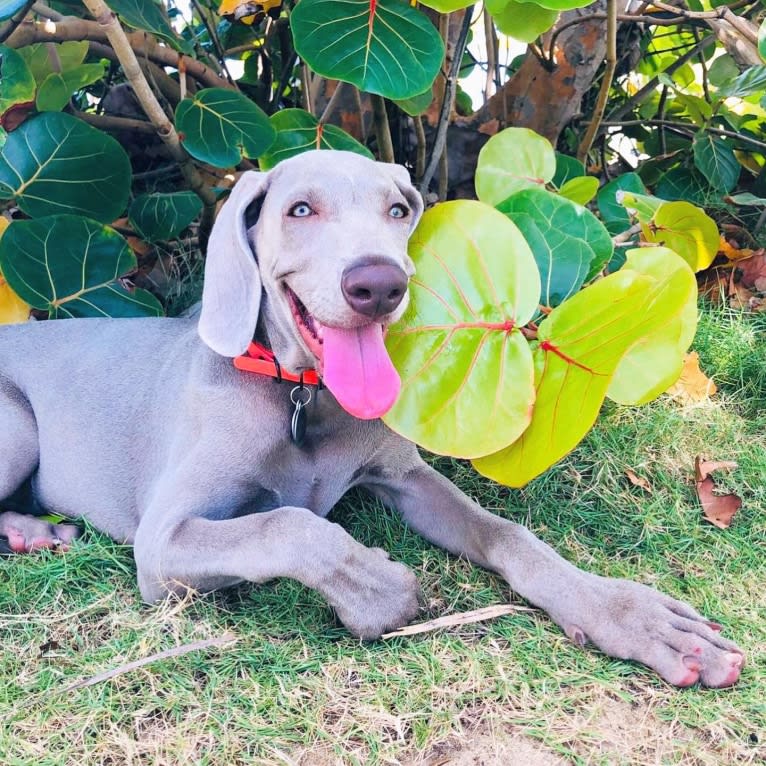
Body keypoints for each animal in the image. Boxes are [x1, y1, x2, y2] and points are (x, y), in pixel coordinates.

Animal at [0, 150, 744, 688]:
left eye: (397, 210)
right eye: (300, 209)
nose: (379, 284)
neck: (305, 398)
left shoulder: (404, 475)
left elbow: (507, 534)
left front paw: (628, 615)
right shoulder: (162, 542)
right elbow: (290, 522)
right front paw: (378, 584)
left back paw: (33, 532)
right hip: (17, 423)